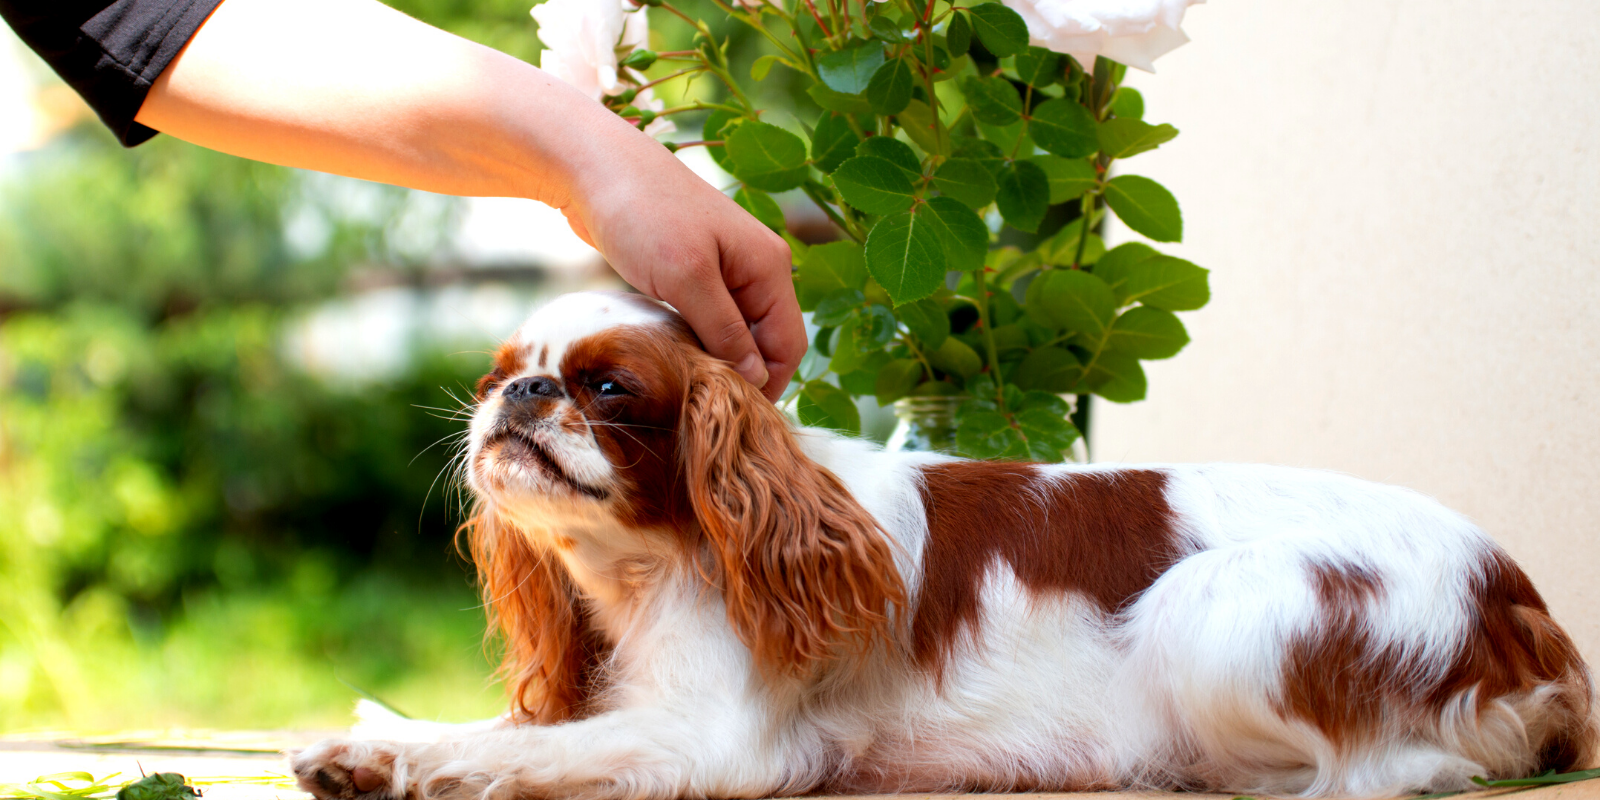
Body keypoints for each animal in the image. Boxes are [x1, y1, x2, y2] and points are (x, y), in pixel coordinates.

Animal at [294, 291, 1593, 800]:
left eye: (607, 388)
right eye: (497, 376)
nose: (523, 395)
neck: (657, 561)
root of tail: (1518, 597)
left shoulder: (715, 738)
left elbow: (522, 752)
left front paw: (385, 753)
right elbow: (500, 728)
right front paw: (372, 740)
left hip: (1221, 603)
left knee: (1394, 768)